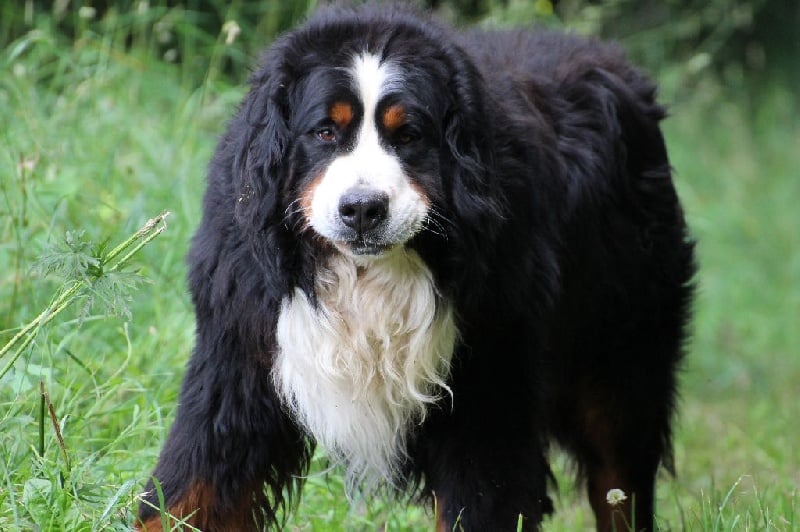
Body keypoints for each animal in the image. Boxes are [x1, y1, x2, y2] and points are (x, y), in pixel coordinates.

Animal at [136, 5, 692, 532]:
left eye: (408, 135)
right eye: (324, 131)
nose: (362, 208)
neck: (368, 280)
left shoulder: (489, 385)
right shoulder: (238, 359)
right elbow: (187, 490)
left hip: (621, 355)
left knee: (619, 480)